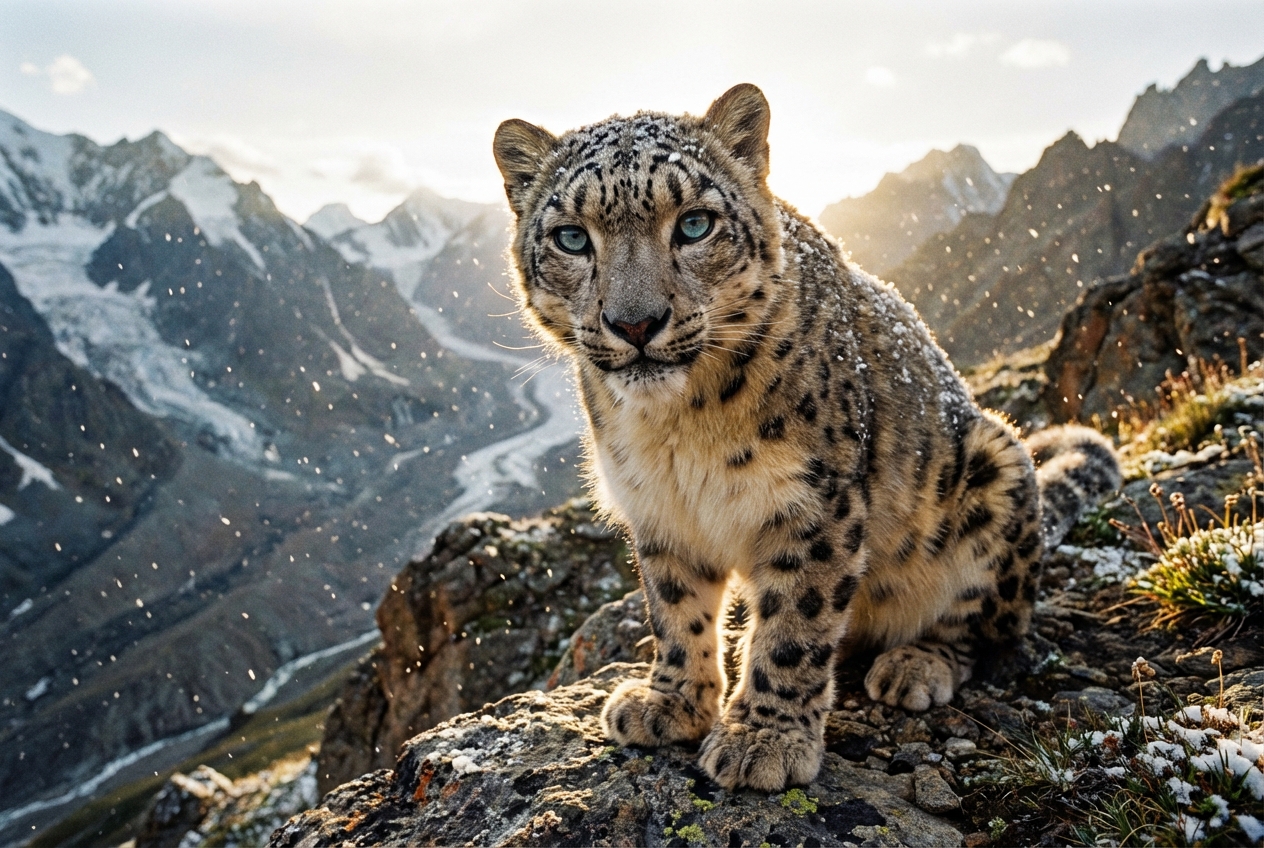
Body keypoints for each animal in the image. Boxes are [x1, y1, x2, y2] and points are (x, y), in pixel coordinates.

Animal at [492, 84, 1120, 792]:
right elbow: (675, 608)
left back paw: (914, 665)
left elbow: (796, 621)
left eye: (695, 224)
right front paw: (671, 703)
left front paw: (762, 741)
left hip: (996, 470)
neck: (675, 432)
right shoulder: (657, 509)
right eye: (572, 237)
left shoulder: (812, 503)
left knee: (987, 625)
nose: (635, 323)